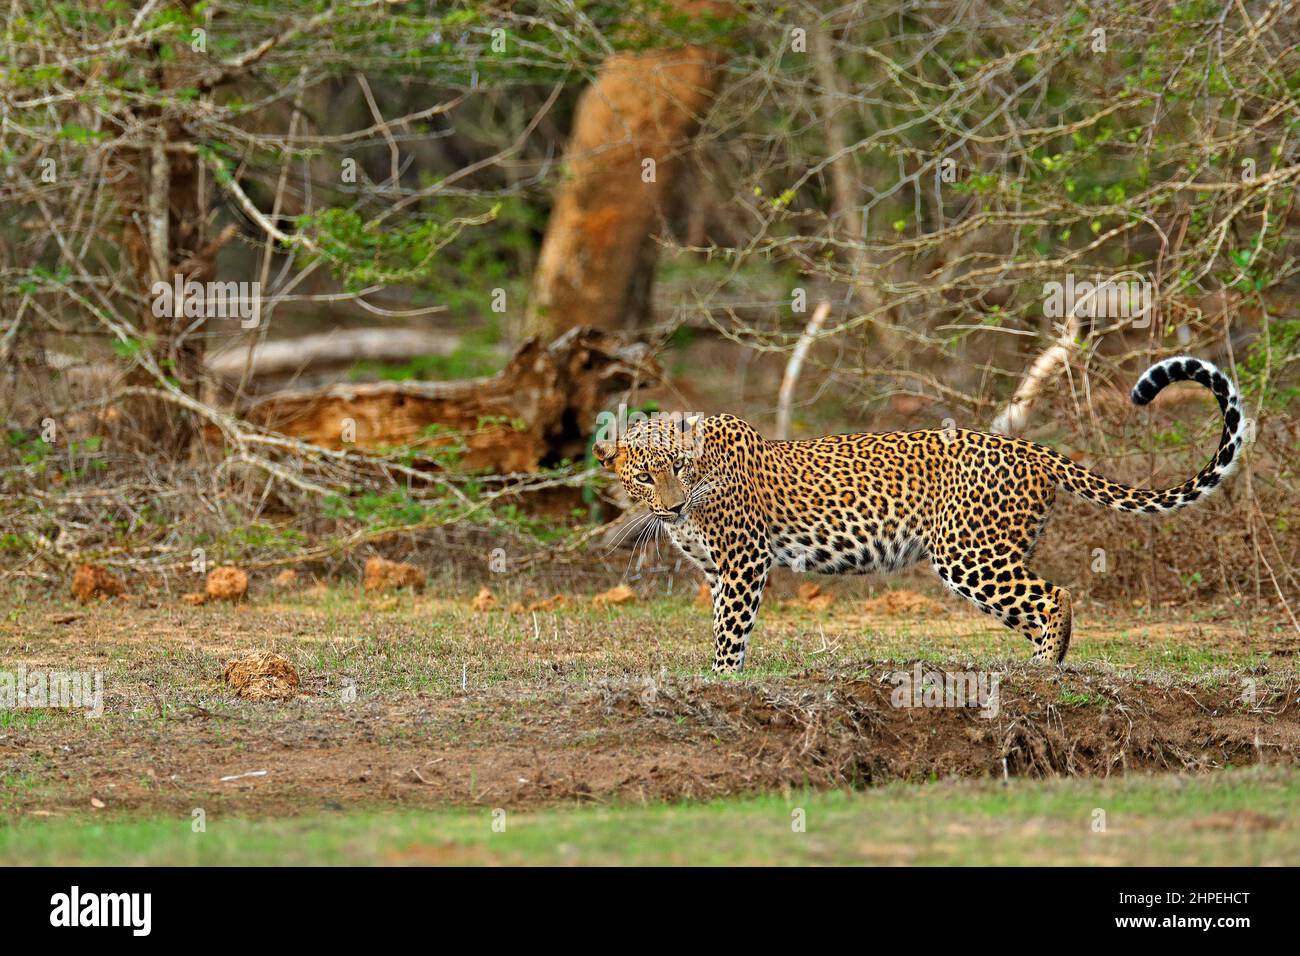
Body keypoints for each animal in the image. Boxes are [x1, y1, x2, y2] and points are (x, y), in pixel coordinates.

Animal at [594, 356, 1248, 672]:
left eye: (680, 466)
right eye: (645, 474)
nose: (673, 503)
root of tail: (1028, 447)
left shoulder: (742, 562)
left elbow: (732, 630)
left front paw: (723, 677)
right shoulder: (714, 568)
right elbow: (721, 623)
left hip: (968, 554)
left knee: (1055, 595)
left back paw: (1042, 672)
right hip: (998, 553)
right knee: (1034, 605)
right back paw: (1046, 664)